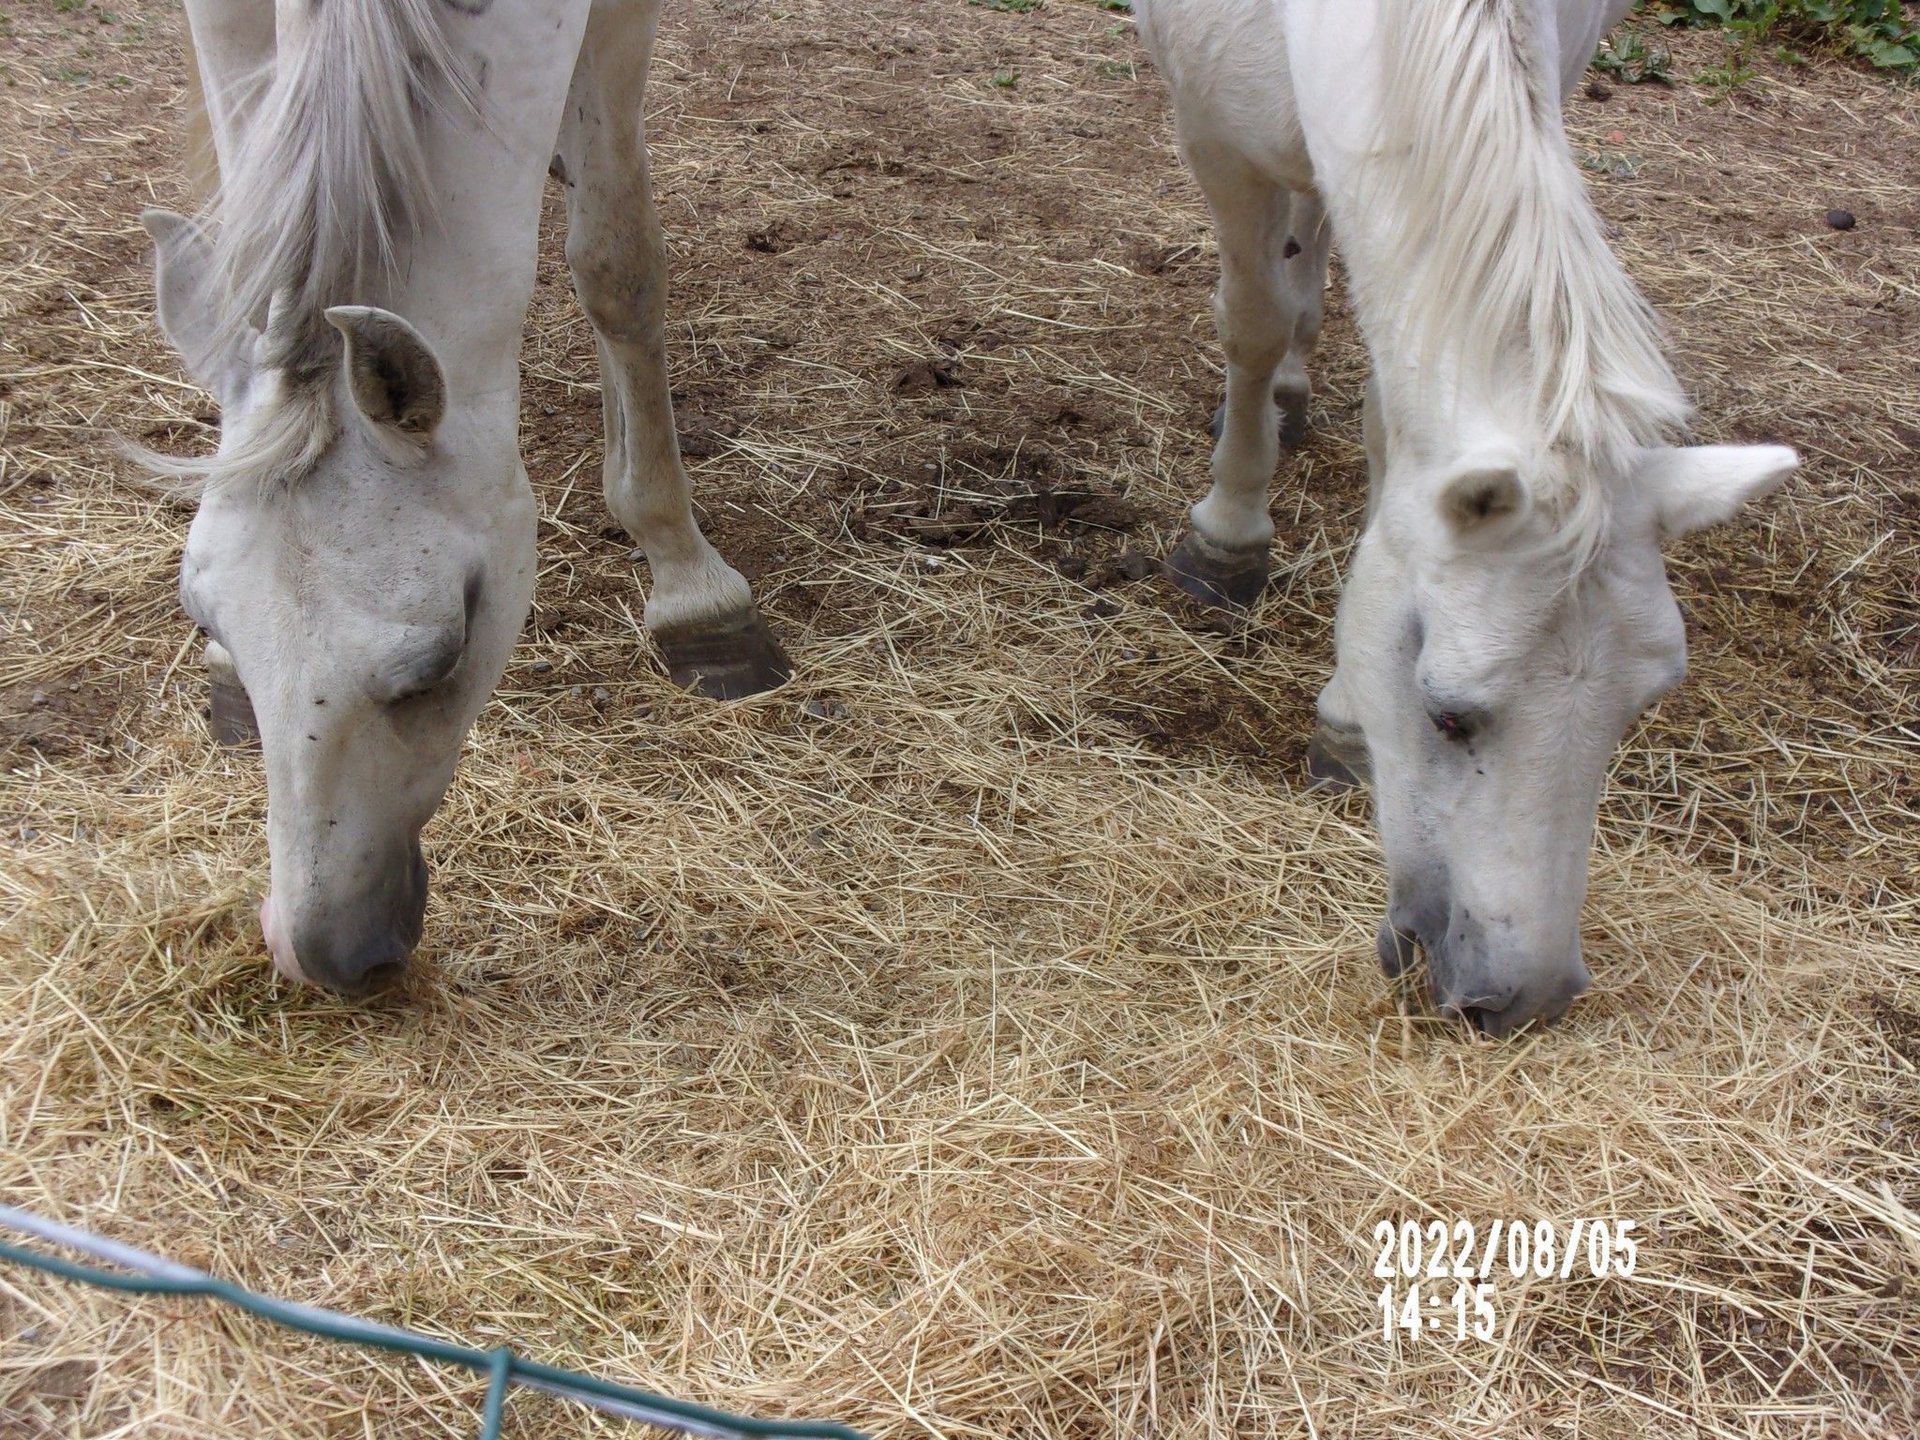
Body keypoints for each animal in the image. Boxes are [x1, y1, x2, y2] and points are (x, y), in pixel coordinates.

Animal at [1128, 0, 1789, 1036]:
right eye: (1447, 716)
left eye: (1640, 707)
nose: (1530, 995)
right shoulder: (1214, 135)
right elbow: (1252, 321)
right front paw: (1228, 532)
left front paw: (1343, 720)